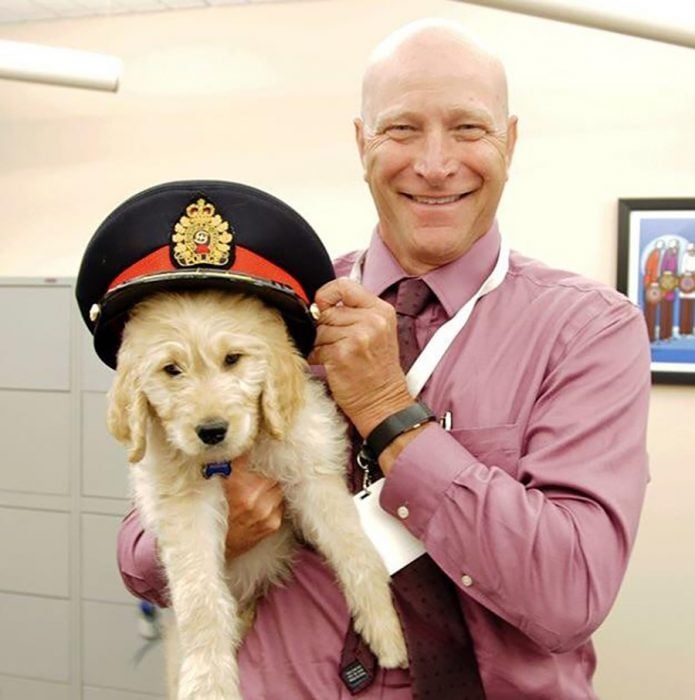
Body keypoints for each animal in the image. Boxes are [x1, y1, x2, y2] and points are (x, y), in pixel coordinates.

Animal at [106, 290, 406, 700]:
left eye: (233, 359)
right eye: (172, 369)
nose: (211, 431)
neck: (231, 459)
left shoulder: (310, 472)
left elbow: (355, 550)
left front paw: (386, 630)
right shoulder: (185, 509)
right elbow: (199, 598)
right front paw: (209, 682)